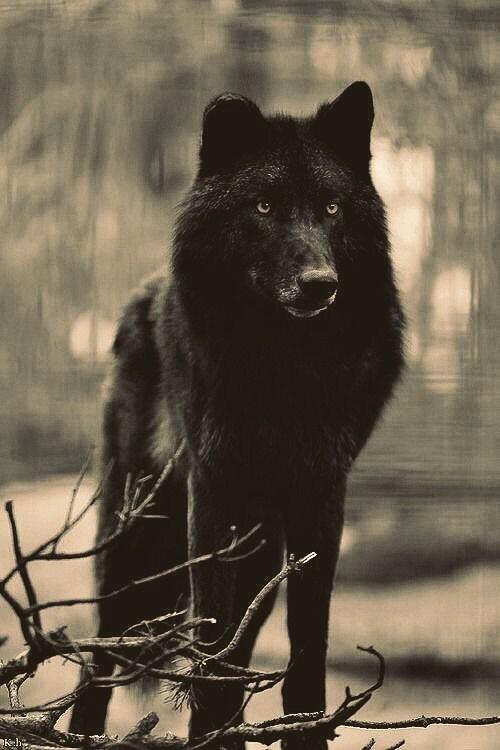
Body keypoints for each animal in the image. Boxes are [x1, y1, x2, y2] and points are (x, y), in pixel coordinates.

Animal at [70, 82, 404, 749]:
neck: (284, 368)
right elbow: (211, 640)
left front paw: (303, 728)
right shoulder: (212, 491)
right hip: (133, 532)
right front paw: (208, 728)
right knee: (100, 658)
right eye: (266, 205)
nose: (320, 283)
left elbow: (307, 644)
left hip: (262, 555)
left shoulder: (322, 497)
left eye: (332, 208)